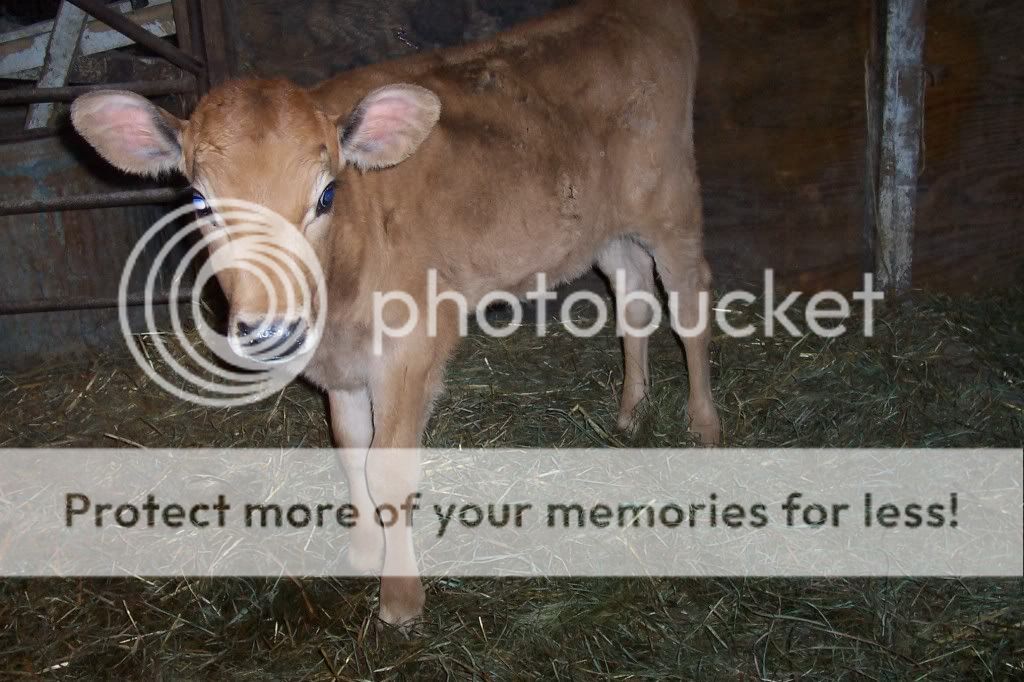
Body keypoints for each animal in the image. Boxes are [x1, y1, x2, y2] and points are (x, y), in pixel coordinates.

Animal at [70, 0, 720, 627]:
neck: (341, 290)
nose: (274, 328)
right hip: (605, 227)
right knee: (632, 297)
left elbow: (388, 470)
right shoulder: (339, 370)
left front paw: (401, 599)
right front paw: (361, 553)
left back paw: (703, 425)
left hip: (672, 201)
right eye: (201, 202)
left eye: (327, 195)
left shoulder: (411, 350)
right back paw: (632, 412)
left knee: (689, 306)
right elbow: (349, 449)